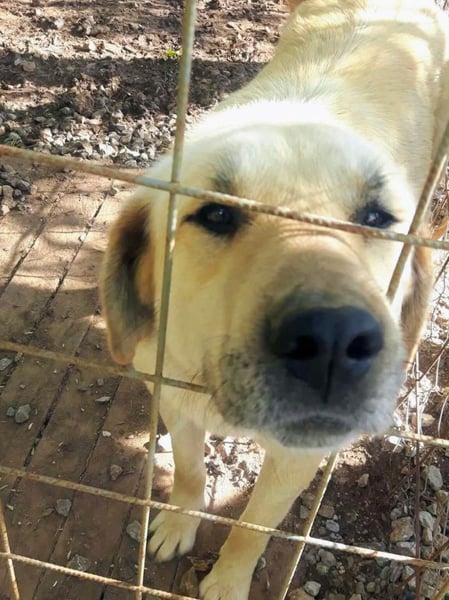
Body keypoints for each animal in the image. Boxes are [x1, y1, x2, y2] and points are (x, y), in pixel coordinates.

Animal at [100, 1, 449, 598]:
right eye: (217, 213)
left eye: (376, 217)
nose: (333, 340)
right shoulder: (174, 397)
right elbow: (190, 470)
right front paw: (179, 522)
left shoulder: (296, 458)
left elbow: (251, 527)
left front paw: (228, 578)